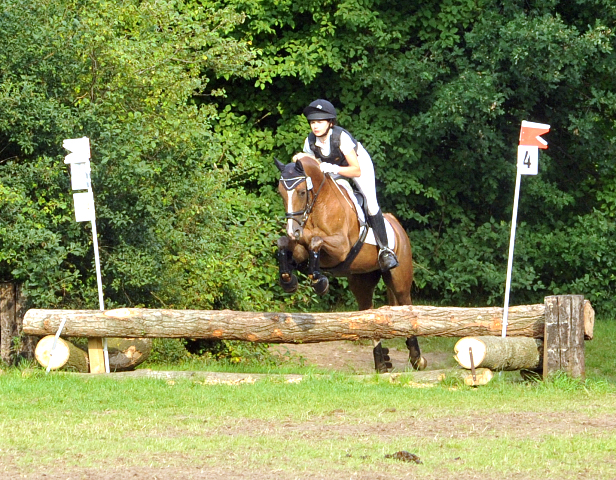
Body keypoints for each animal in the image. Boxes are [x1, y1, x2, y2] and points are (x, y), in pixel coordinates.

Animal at [276, 154, 426, 372]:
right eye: (281, 193)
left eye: (302, 192)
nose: (292, 231)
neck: (318, 206)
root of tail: (396, 225)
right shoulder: (300, 246)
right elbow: (284, 243)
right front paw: (288, 280)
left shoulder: (340, 248)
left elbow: (316, 241)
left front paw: (319, 282)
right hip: (361, 281)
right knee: (368, 313)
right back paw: (382, 363)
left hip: (400, 279)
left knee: (406, 305)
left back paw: (416, 359)